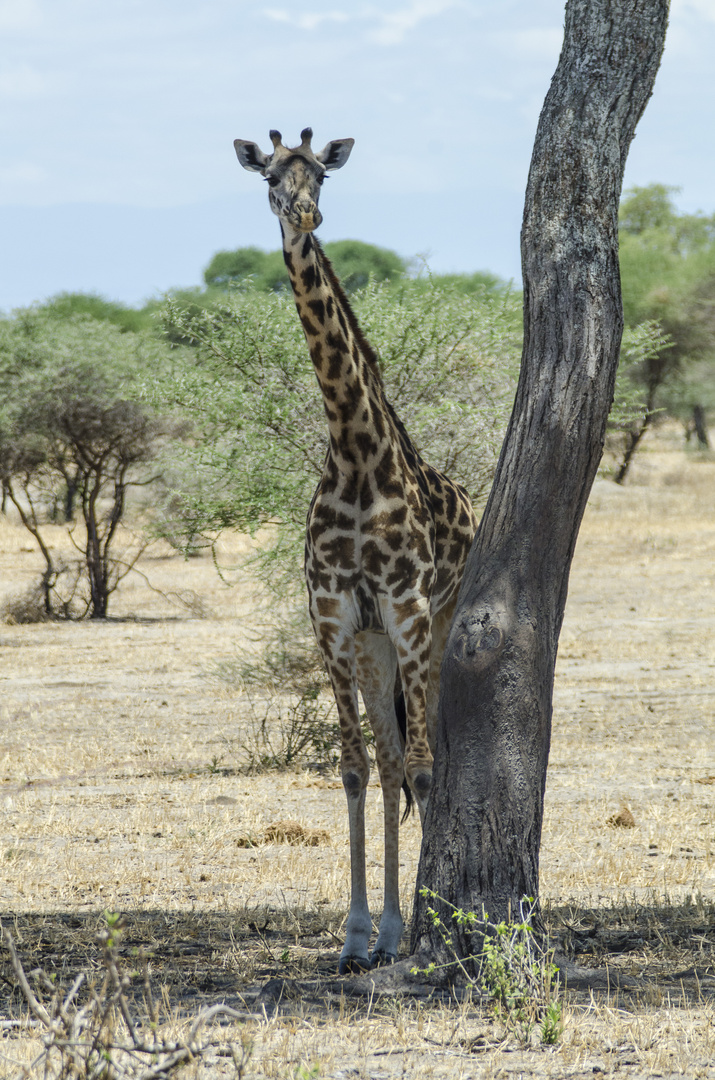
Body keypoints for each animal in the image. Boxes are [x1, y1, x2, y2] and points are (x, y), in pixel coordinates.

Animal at [236, 128, 481, 980]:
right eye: (269, 177)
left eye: (323, 173)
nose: (302, 214)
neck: (352, 454)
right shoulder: (334, 617)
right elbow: (351, 767)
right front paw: (353, 936)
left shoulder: (405, 609)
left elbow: (424, 767)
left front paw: (422, 925)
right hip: (375, 645)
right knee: (386, 758)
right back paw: (385, 933)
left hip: (431, 626)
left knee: (424, 756)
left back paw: (411, 926)